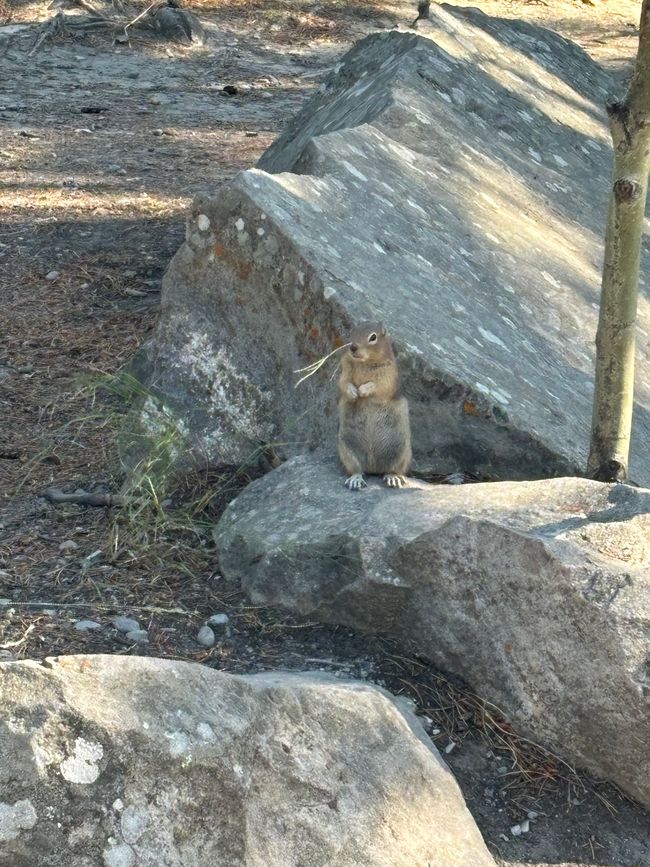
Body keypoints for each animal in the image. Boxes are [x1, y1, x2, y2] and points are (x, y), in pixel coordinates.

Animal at [340, 322, 410, 492]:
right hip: (347, 450)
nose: (353, 347)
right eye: (351, 332)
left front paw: (363, 390)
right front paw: (353, 392)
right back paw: (355, 480)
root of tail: (373, 468)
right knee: (357, 470)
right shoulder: (344, 368)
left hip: (401, 453)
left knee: (392, 470)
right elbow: (343, 383)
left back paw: (393, 478)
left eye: (373, 337)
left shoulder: (388, 373)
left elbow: (378, 385)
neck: (364, 362)